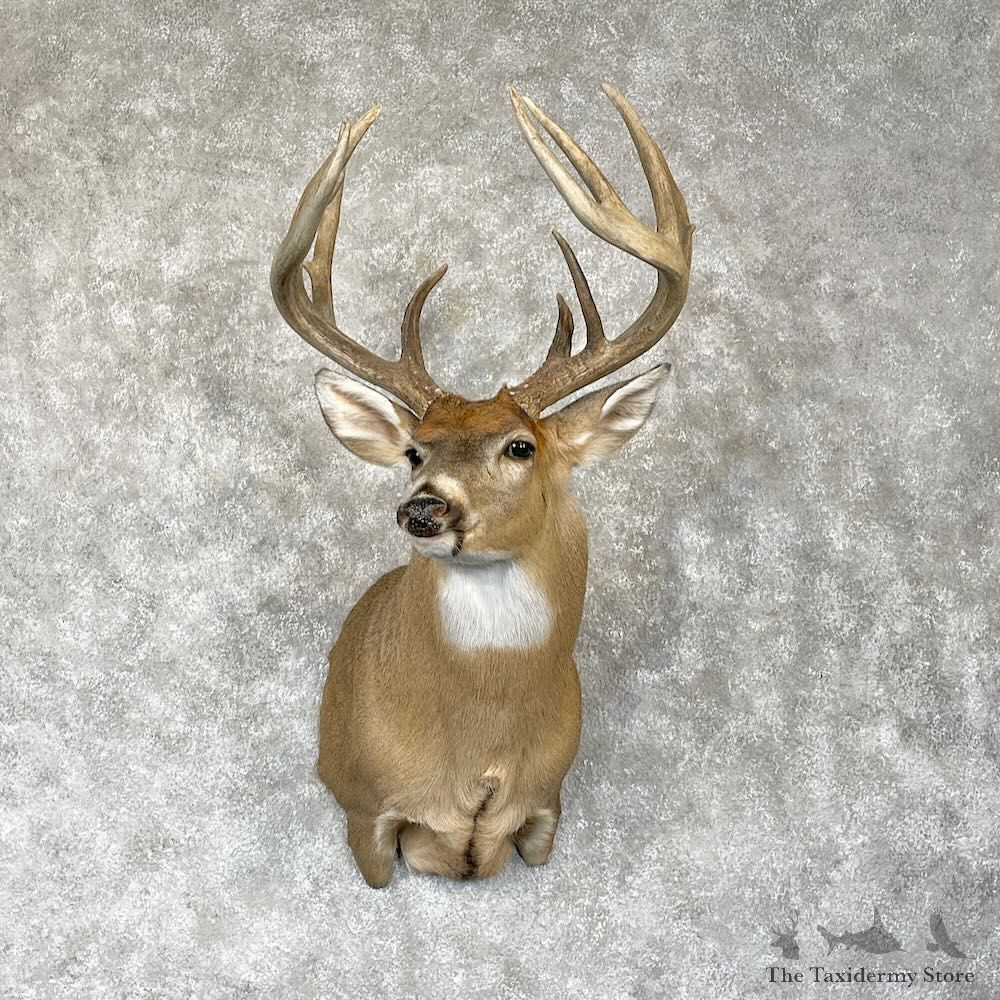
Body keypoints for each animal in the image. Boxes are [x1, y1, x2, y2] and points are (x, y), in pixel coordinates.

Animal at [270, 83, 693, 887]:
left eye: (521, 446)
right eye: (412, 452)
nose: (424, 508)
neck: (480, 759)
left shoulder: (549, 806)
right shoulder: (366, 813)